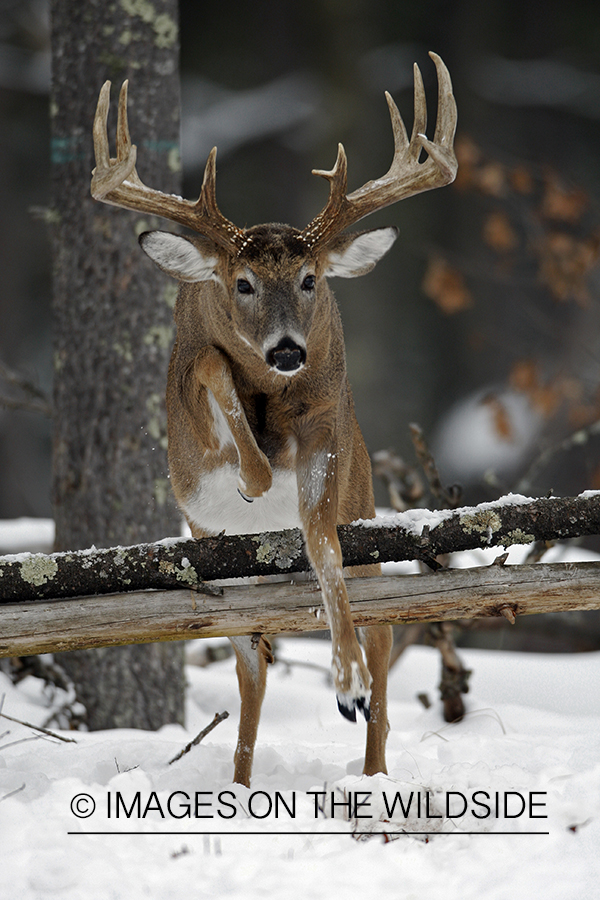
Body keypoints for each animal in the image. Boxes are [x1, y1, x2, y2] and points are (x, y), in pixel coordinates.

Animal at [88, 52, 454, 788]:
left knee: (382, 633)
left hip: (365, 506)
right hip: (224, 561)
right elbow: (211, 369)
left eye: (311, 278)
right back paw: (238, 782)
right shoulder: (191, 420)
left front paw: (346, 685)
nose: (288, 349)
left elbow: (324, 548)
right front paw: (250, 476)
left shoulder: (326, 439)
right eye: (242, 283)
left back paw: (372, 769)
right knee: (250, 663)